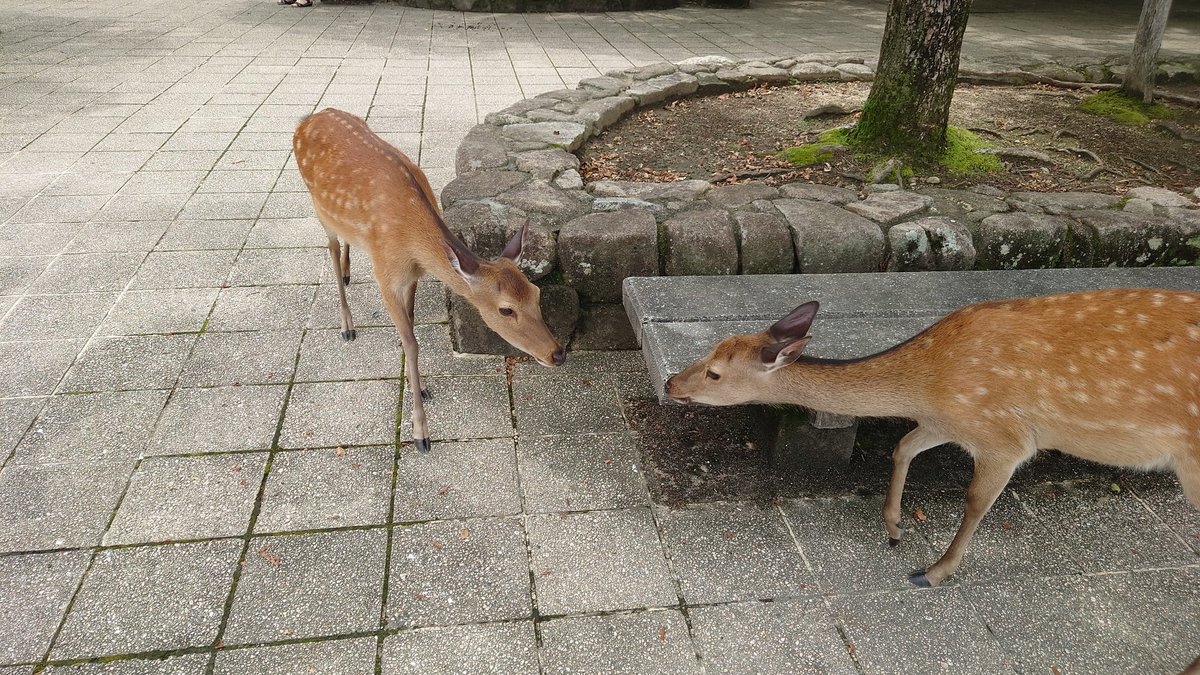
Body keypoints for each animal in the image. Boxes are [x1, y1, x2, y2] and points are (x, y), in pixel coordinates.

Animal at [293, 108, 565, 453]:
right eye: (506, 309)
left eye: (536, 293)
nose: (557, 353)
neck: (412, 243)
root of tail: (308, 119)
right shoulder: (385, 274)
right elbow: (412, 343)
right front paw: (420, 430)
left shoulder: (413, 274)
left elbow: (410, 321)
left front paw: (415, 381)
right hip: (317, 206)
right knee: (330, 247)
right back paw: (347, 324)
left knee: (345, 241)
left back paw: (347, 271)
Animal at [665, 289, 1200, 587]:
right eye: (709, 352)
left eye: (713, 373)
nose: (670, 383)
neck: (929, 384)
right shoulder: (945, 422)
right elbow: (902, 446)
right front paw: (894, 527)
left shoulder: (1004, 437)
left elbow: (975, 501)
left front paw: (933, 571)